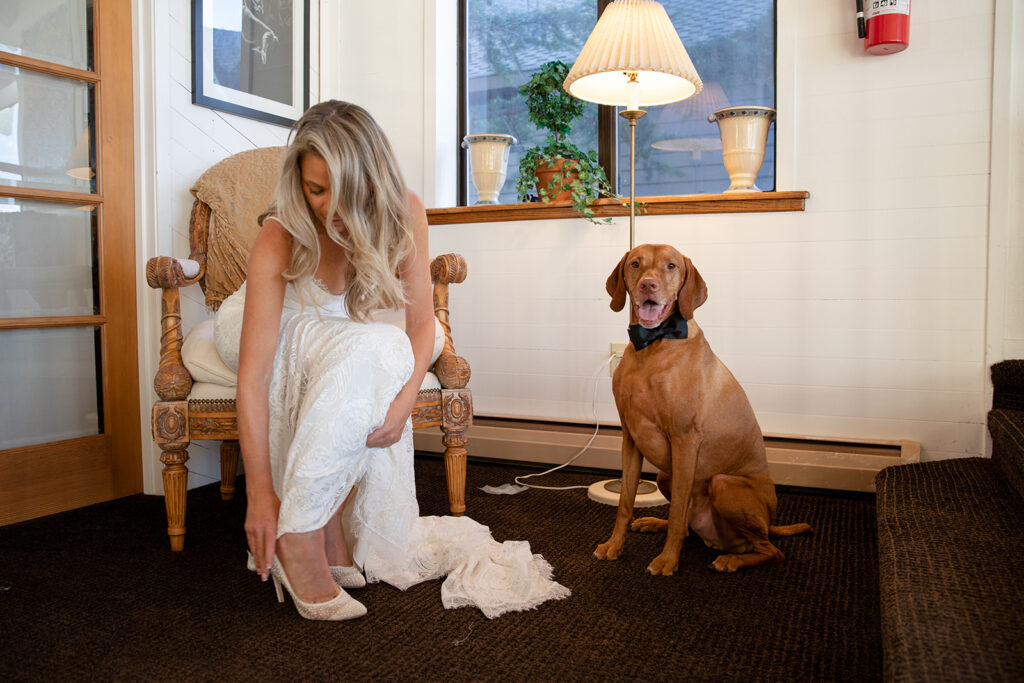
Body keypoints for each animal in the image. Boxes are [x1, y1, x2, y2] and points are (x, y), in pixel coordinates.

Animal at [598, 242, 806, 573]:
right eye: (635, 264)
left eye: (671, 266)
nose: (648, 285)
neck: (653, 345)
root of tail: (770, 522)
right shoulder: (630, 438)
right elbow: (625, 502)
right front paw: (614, 546)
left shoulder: (685, 439)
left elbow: (677, 511)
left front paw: (667, 561)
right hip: (664, 475)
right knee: (687, 526)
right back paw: (653, 523)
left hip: (722, 484)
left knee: (771, 550)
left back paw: (732, 560)